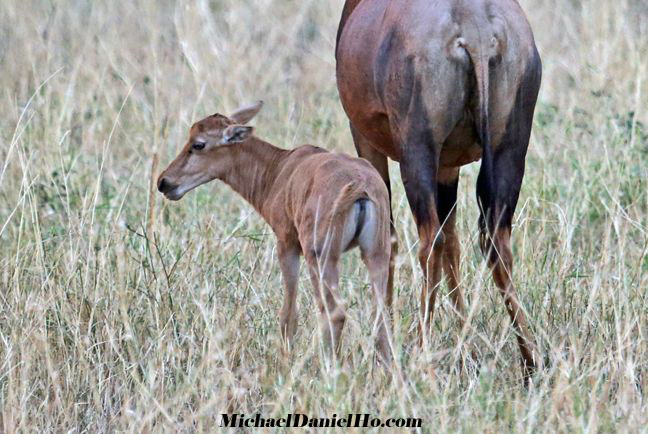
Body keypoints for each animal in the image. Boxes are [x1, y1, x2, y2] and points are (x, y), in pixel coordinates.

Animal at [156, 101, 394, 362]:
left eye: (198, 144)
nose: (164, 182)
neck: (282, 168)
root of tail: (360, 187)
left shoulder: (287, 245)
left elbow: (288, 314)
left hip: (321, 258)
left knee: (334, 313)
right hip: (376, 254)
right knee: (381, 315)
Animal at [336, 0, 544, 376]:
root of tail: (474, 26)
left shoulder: (366, 141)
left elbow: (389, 238)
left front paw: (384, 350)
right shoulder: (449, 166)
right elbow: (454, 243)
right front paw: (465, 342)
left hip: (416, 152)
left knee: (429, 242)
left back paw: (422, 354)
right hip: (509, 148)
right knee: (495, 242)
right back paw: (530, 360)